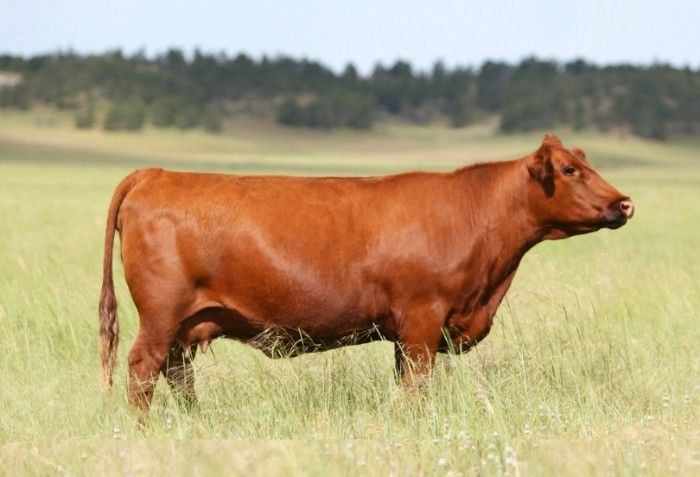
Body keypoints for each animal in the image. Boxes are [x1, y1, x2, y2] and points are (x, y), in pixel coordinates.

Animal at [99, 135, 634, 413]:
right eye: (569, 170)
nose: (624, 203)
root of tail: (156, 173)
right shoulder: (421, 320)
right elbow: (416, 386)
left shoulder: (405, 331)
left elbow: (403, 384)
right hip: (161, 313)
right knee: (143, 368)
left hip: (185, 323)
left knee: (176, 371)